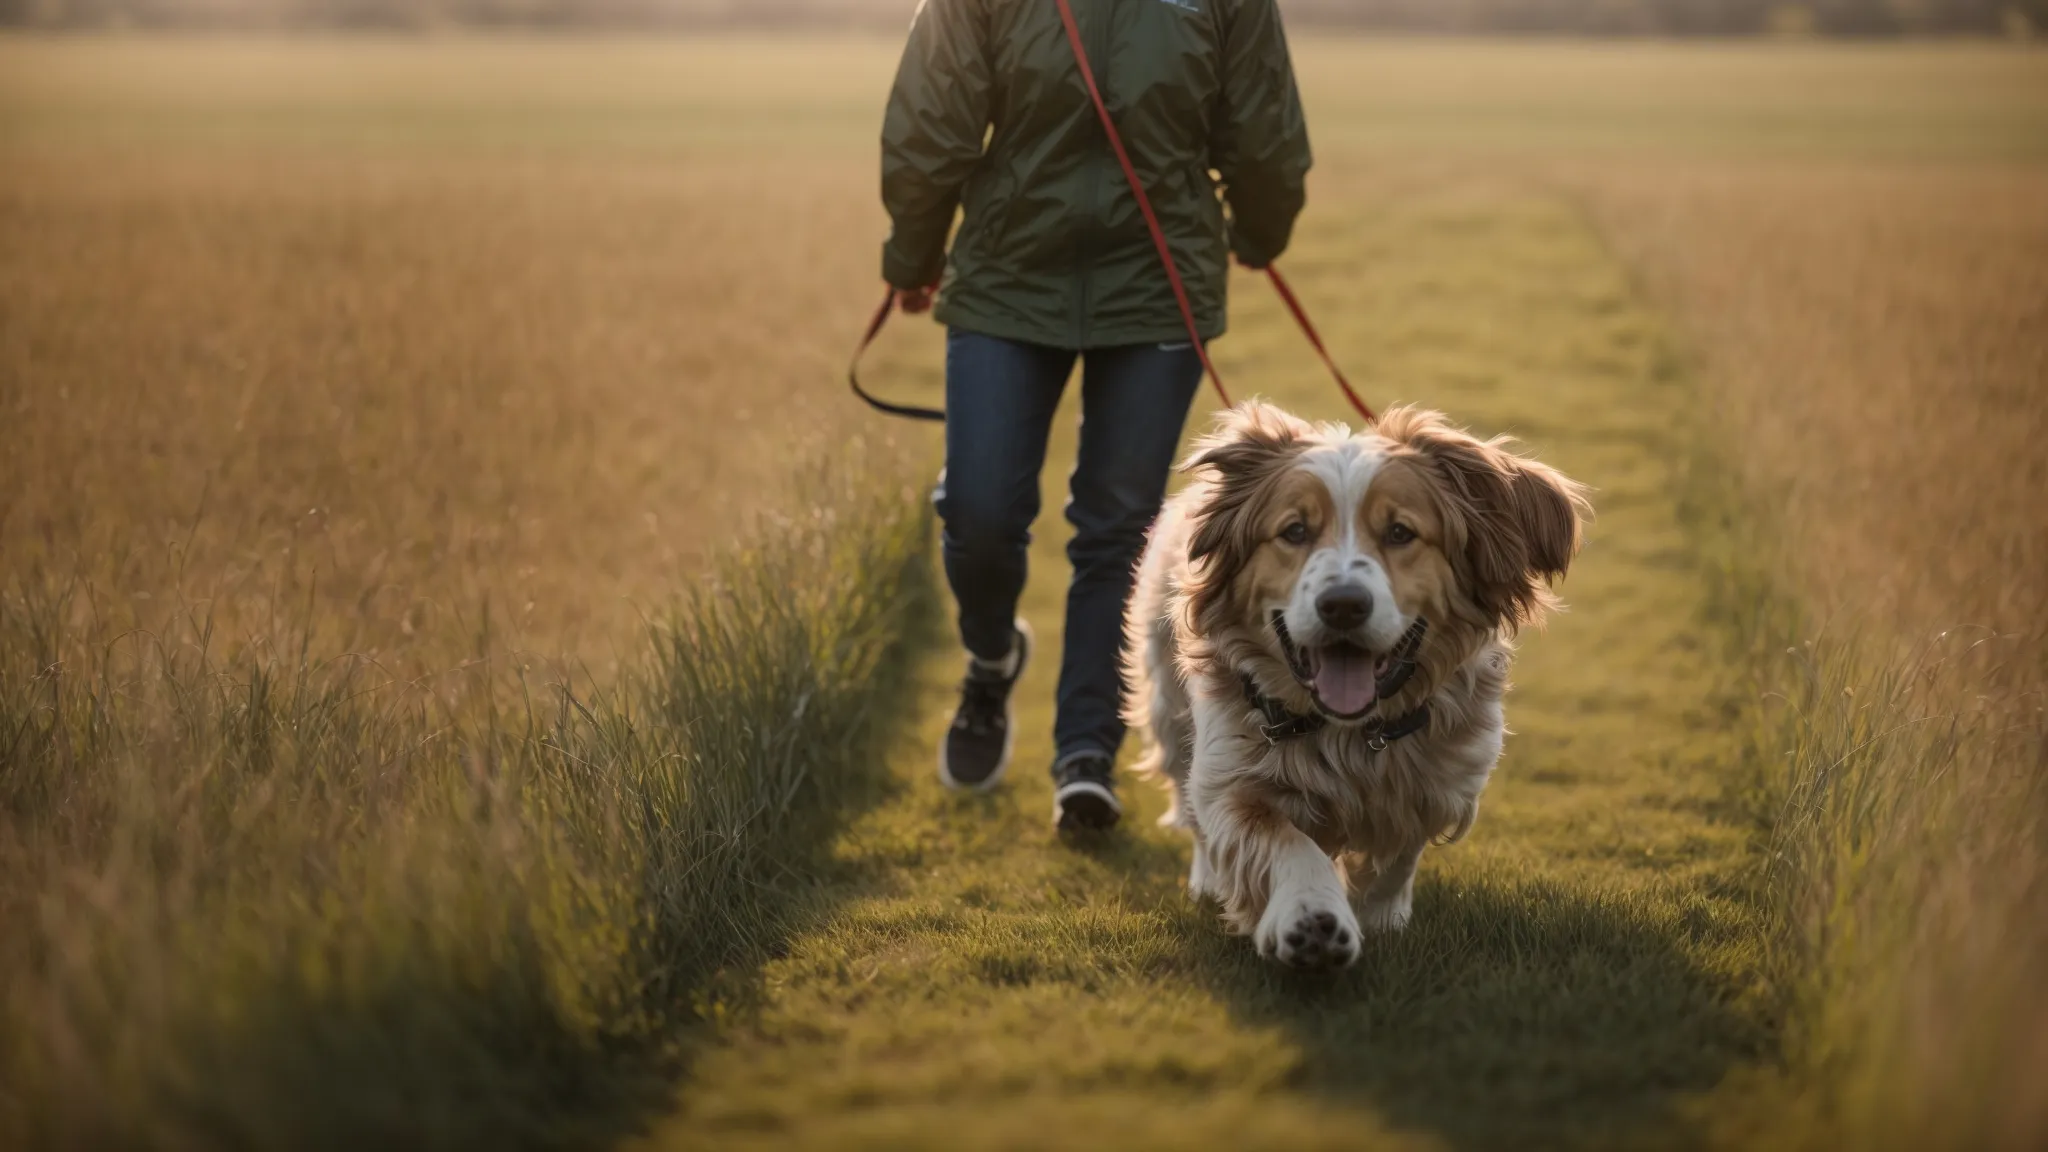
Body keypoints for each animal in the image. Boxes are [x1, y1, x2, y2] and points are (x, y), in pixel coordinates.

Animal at [1130, 399, 1589, 963]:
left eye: (1400, 532)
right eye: (1294, 531)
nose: (1343, 604)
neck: (1351, 731)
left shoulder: (1438, 778)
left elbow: (1399, 856)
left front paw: (1380, 917)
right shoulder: (1233, 774)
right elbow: (1285, 843)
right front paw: (1312, 918)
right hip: (1170, 712)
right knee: (1188, 800)